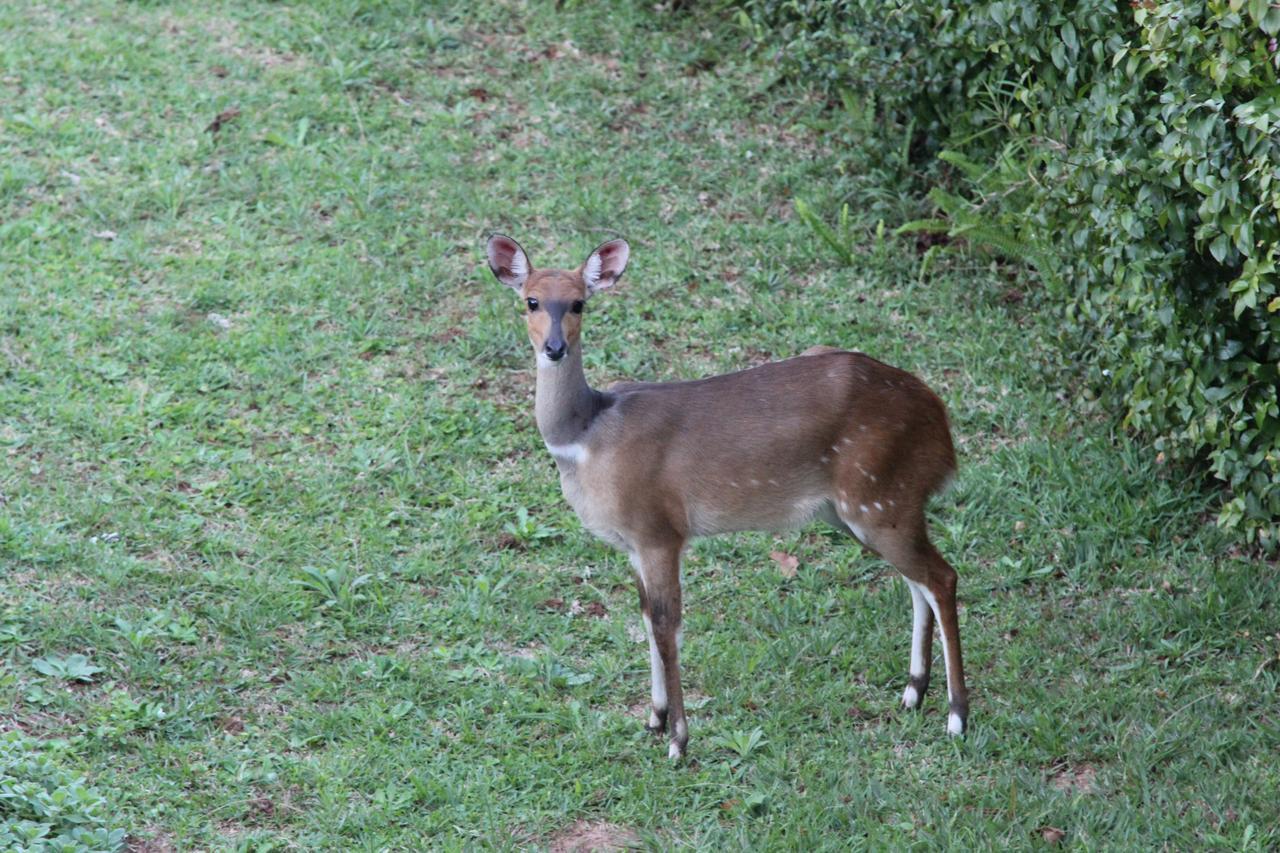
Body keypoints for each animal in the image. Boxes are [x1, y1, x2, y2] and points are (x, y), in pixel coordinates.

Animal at [486, 233, 967, 758]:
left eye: (578, 303)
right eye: (531, 301)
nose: (554, 348)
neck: (588, 436)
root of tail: (939, 421)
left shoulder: (660, 531)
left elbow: (667, 622)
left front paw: (678, 741)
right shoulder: (633, 544)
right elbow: (645, 615)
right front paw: (653, 720)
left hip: (879, 498)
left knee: (941, 576)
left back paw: (956, 717)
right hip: (863, 510)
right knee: (916, 581)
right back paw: (912, 692)